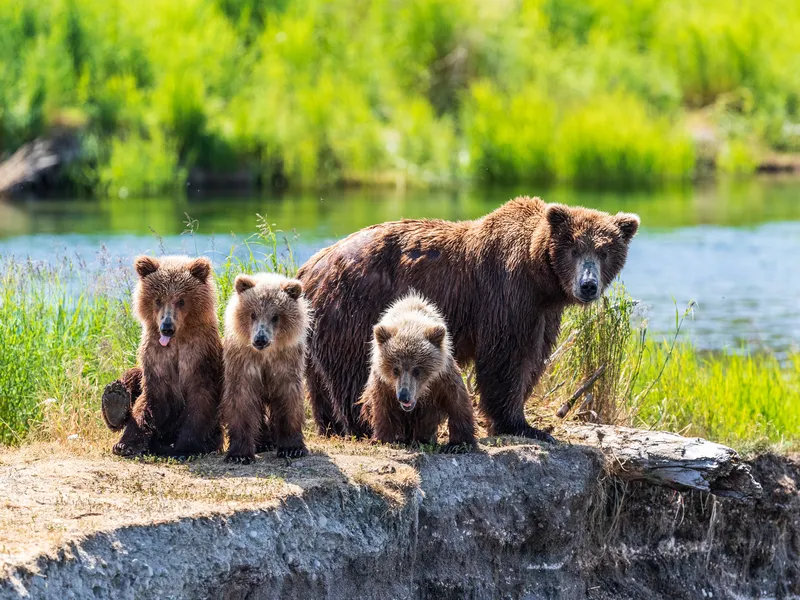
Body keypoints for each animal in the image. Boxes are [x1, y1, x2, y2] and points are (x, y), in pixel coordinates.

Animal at [296, 197, 640, 440]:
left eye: (605, 251)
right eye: (574, 248)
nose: (588, 285)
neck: (540, 278)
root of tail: (309, 267)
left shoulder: (542, 311)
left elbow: (535, 357)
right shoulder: (506, 294)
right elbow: (507, 357)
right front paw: (521, 425)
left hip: (318, 324)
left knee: (318, 379)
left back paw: (331, 426)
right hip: (355, 308)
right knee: (356, 369)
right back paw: (364, 425)